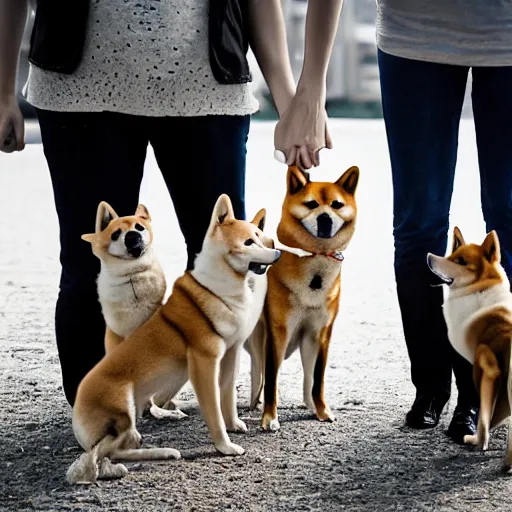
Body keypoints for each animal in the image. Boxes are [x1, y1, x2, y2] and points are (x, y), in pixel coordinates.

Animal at [66, 195, 282, 484]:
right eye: (249, 242)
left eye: (260, 237)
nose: (278, 252)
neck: (217, 289)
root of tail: (76, 412)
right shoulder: (204, 364)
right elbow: (213, 411)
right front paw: (224, 447)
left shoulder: (231, 354)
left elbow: (227, 397)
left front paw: (234, 425)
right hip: (124, 411)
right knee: (104, 453)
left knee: (115, 449)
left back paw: (166, 451)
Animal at [245, 166, 360, 430]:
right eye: (311, 204)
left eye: (337, 205)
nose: (325, 218)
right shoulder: (278, 331)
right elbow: (271, 379)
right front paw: (270, 417)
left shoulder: (320, 333)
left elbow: (316, 379)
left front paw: (322, 410)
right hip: (255, 336)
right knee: (257, 370)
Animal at [426, 228, 512, 472]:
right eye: (452, 253)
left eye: (461, 261)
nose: (428, 256)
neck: (480, 286)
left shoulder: (485, 365)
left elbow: (484, 418)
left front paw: (476, 441)